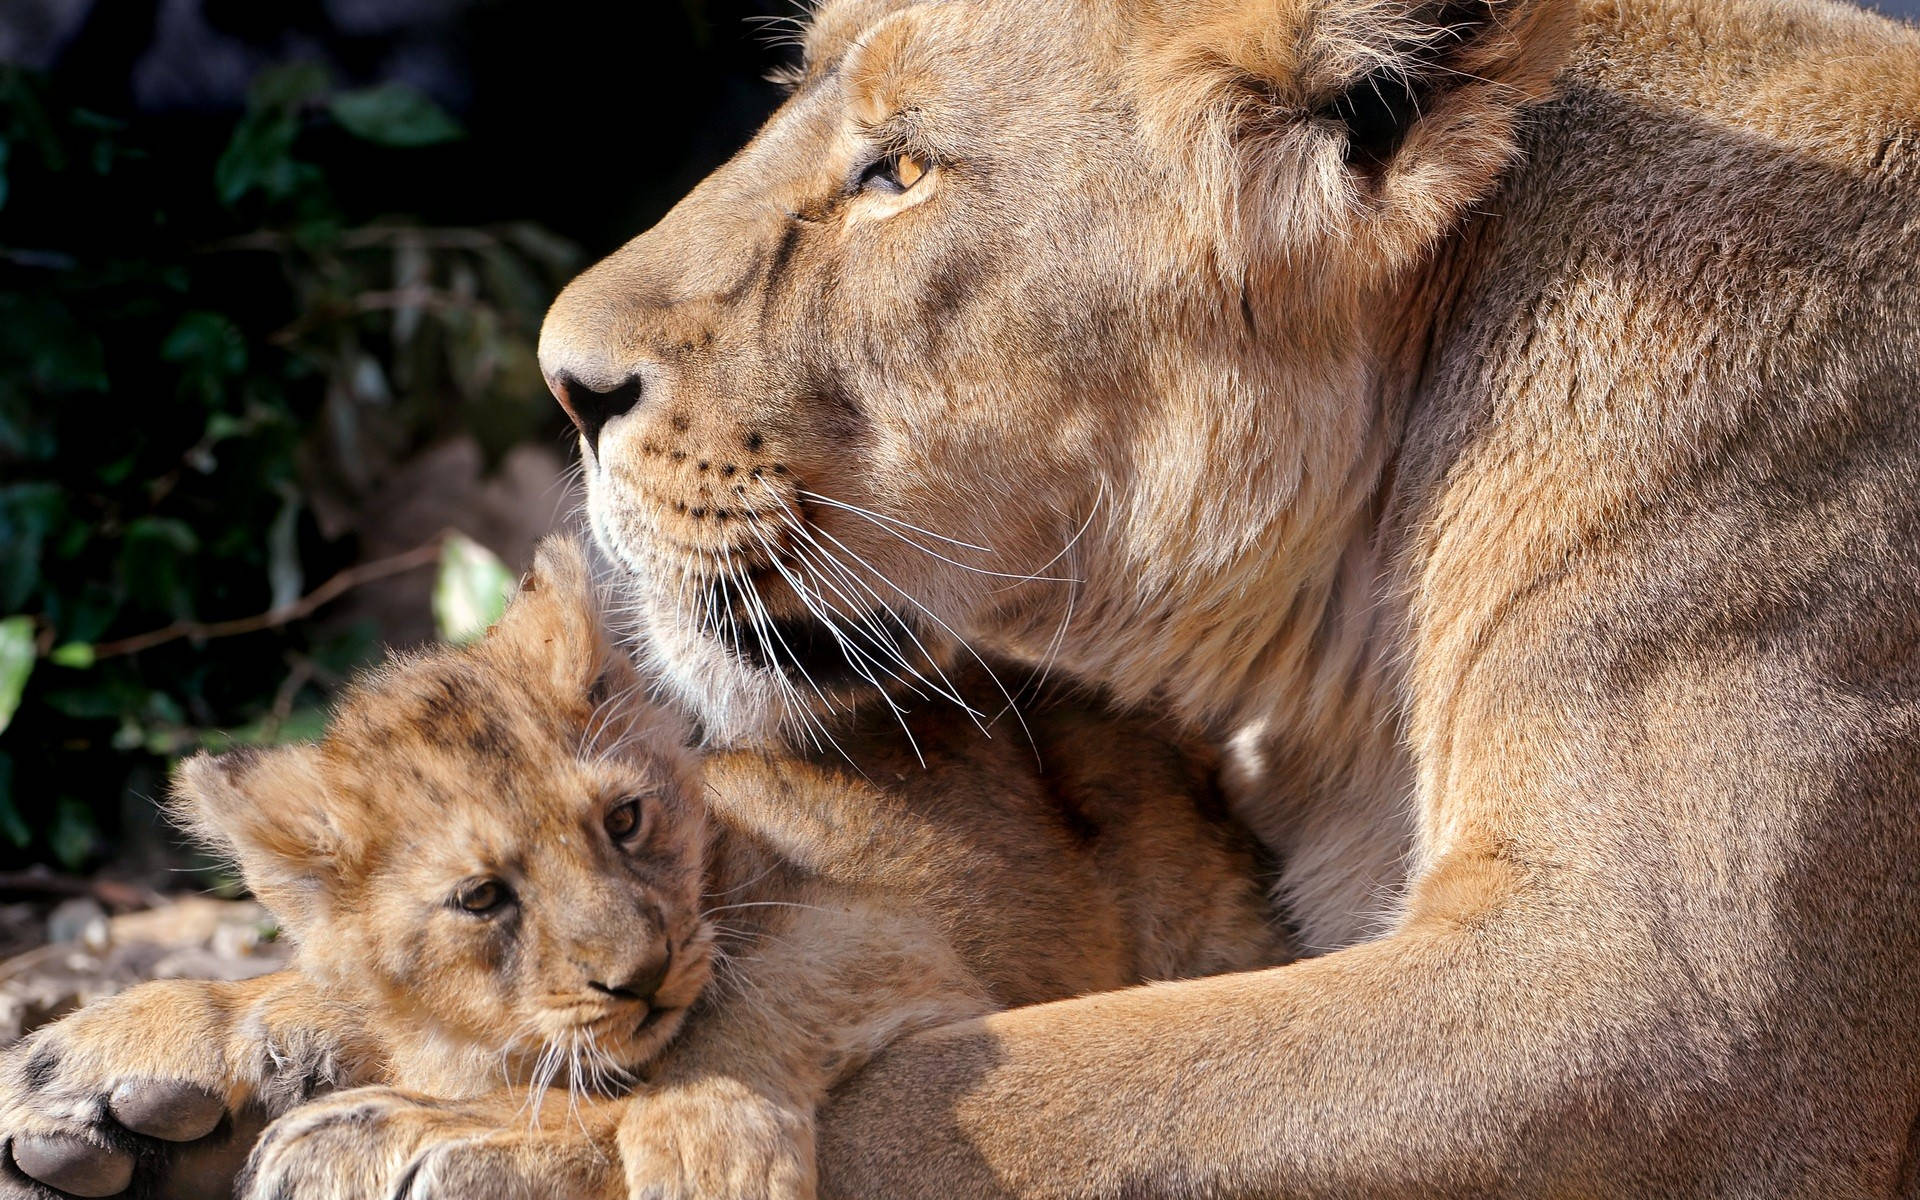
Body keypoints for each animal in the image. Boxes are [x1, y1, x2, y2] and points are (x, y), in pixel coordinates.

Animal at [0, 536, 1286, 1200]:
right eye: (482, 899)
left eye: (623, 822)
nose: (641, 972)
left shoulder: (879, 926)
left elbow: (727, 1022)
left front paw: (703, 1147)